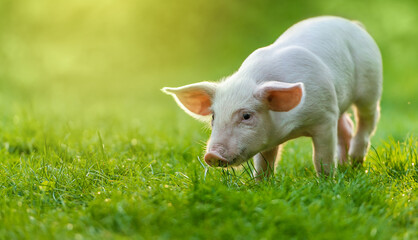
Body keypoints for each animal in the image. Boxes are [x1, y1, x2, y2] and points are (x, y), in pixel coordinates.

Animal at [162, 16, 382, 178]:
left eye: (247, 116)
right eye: (214, 117)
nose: (211, 155)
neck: (291, 130)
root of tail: (353, 24)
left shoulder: (324, 117)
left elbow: (322, 158)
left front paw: (327, 183)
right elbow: (264, 163)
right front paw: (259, 186)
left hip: (371, 87)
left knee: (366, 121)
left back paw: (355, 162)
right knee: (346, 126)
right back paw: (346, 165)